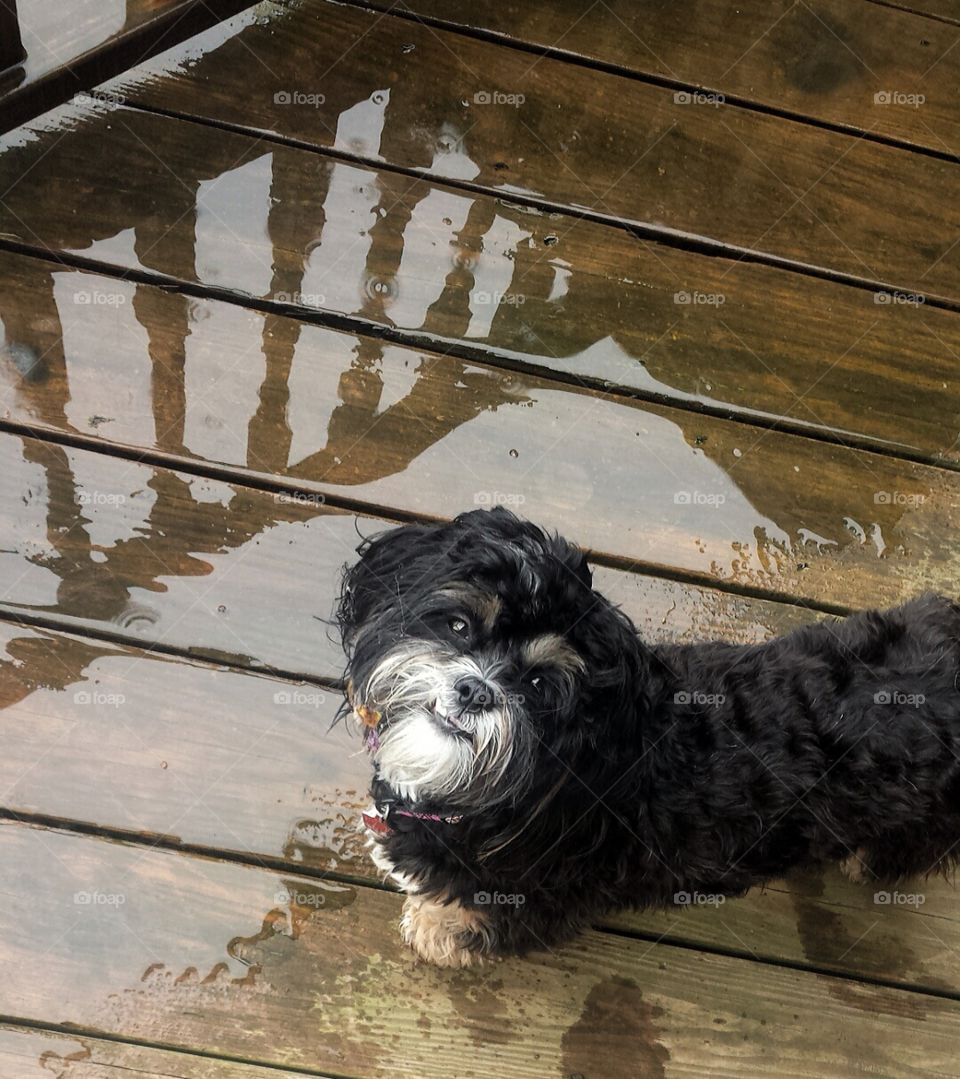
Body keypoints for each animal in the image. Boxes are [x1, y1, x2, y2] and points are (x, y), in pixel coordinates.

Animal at [334, 507, 957, 971]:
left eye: (539, 684)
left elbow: (473, 917)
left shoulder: (536, 894)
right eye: (460, 625)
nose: (474, 691)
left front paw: (434, 930)